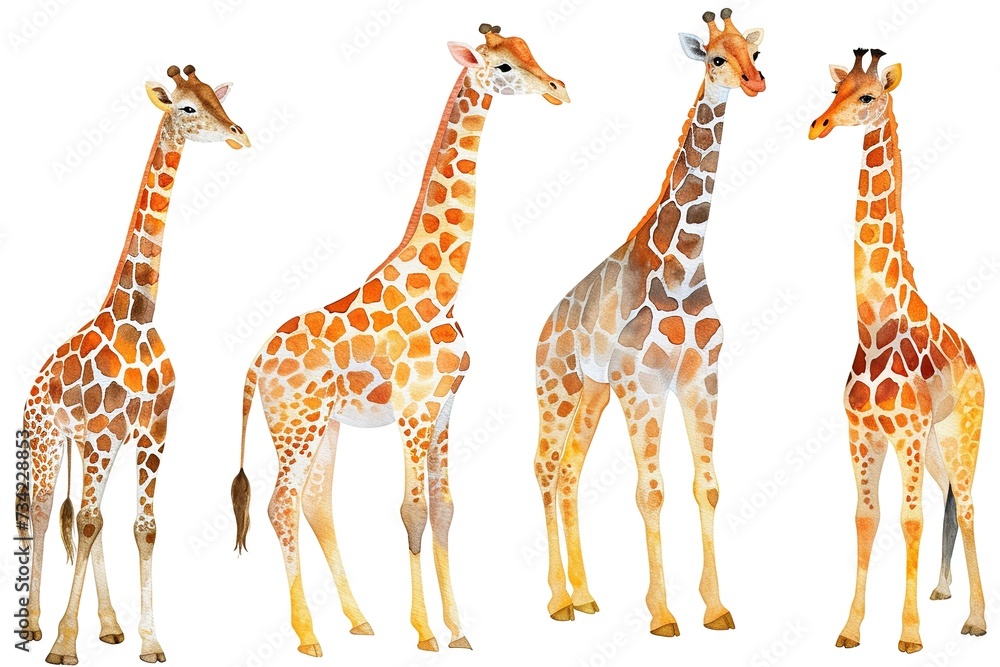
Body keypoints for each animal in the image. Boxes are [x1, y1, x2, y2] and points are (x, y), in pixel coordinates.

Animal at [19, 65, 250, 665]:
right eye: (187, 107)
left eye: (217, 99)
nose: (237, 133)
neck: (139, 318)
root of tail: (31, 388)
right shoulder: (103, 431)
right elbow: (88, 521)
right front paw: (64, 643)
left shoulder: (149, 430)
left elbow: (142, 526)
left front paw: (147, 639)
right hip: (50, 440)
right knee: (43, 511)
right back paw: (34, 625)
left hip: (94, 446)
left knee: (89, 515)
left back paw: (108, 626)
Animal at [230, 25, 569, 657]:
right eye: (505, 66)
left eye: (530, 50)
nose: (559, 88)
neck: (443, 288)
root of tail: (254, 366)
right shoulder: (413, 410)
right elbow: (412, 511)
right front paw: (425, 632)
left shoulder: (444, 407)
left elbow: (445, 510)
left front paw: (459, 630)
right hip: (294, 424)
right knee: (280, 504)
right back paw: (308, 635)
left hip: (325, 425)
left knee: (315, 503)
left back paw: (359, 619)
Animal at [533, 8, 764, 636]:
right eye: (716, 57)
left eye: (754, 52)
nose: (754, 82)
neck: (684, 264)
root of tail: (545, 325)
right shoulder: (644, 384)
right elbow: (650, 493)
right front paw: (662, 613)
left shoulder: (700, 379)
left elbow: (708, 488)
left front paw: (716, 607)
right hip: (557, 385)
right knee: (544, 469)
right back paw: (557, 601)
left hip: (592, 390)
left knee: (568, 471)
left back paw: (585, 596)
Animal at [809, 49, 987, 653]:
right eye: (836, 90)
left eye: (868, 96)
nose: (818, 125)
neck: (873, 325)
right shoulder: (862, 431)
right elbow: (866, 518)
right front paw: (849, 629)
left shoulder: (905, 430)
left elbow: (909, 520)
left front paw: (908, 635)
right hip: (934, 448)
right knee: (952, 500)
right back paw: (943, 592)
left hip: (960, 433)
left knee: (970, 505)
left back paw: (976, 619)